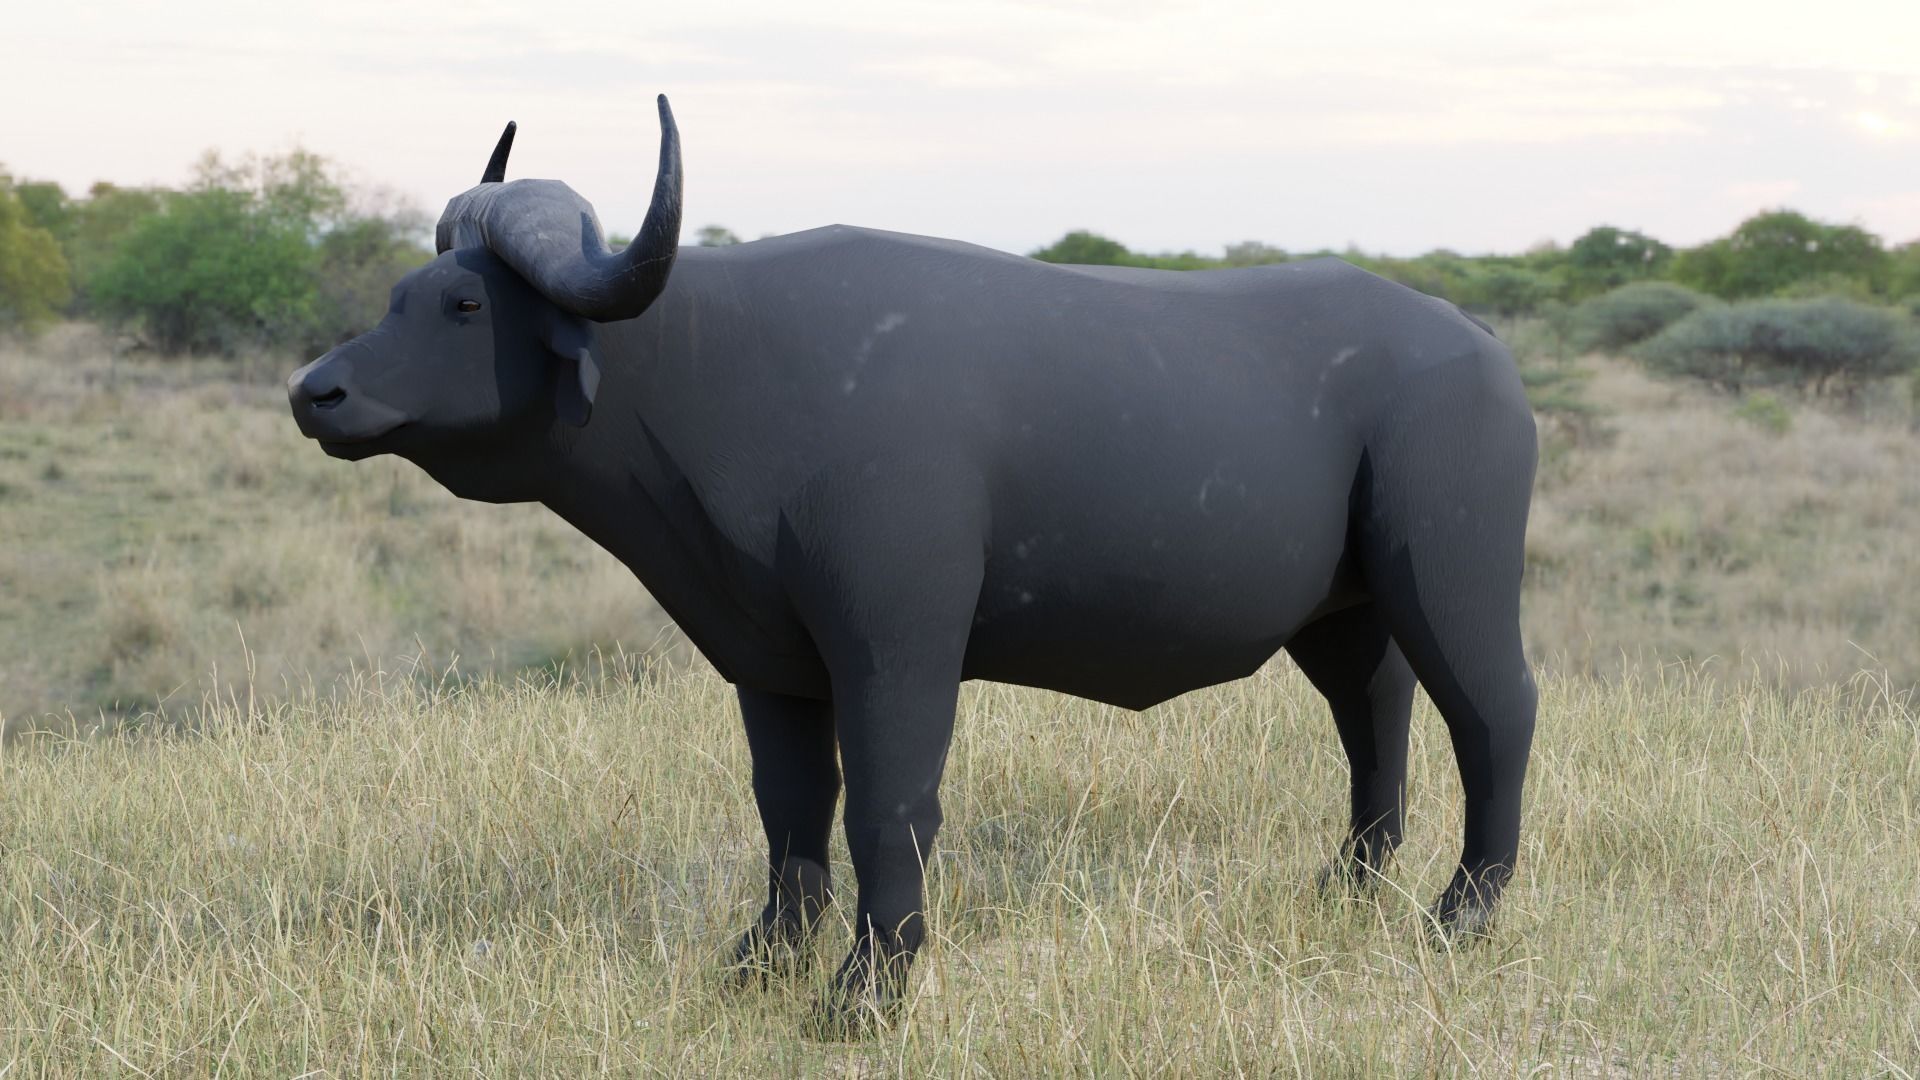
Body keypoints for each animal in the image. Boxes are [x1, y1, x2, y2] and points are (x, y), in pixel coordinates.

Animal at [288, 96, 1538, 1035]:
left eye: (464, 302)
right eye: (401, 293)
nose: (316, 392)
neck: (713, 367)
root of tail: (1479, 352)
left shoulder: (896, 645)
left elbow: (889, 804)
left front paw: (862, 997)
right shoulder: (771, 662)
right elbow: (790, 810)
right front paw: (760, 964)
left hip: (1453, 575)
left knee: (1494, 711)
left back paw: (1460, 915)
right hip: (1343, 610)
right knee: (1374, 712)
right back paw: (1350, 891)